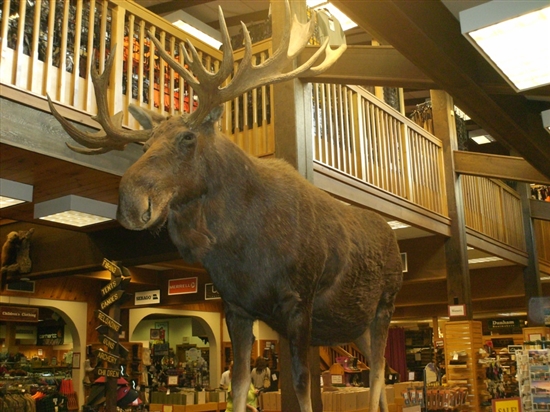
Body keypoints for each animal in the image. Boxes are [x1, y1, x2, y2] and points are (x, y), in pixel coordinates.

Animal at [49, 1, 404, 410]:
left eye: (188, 137)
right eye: (144, 144)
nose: (131, 203)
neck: (237, 247)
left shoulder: (299, 302)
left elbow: (301, 385)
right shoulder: (237, 307)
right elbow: (238, 382)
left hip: (384, 306)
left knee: (378, 376)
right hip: (355, 322)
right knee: (379, 375)